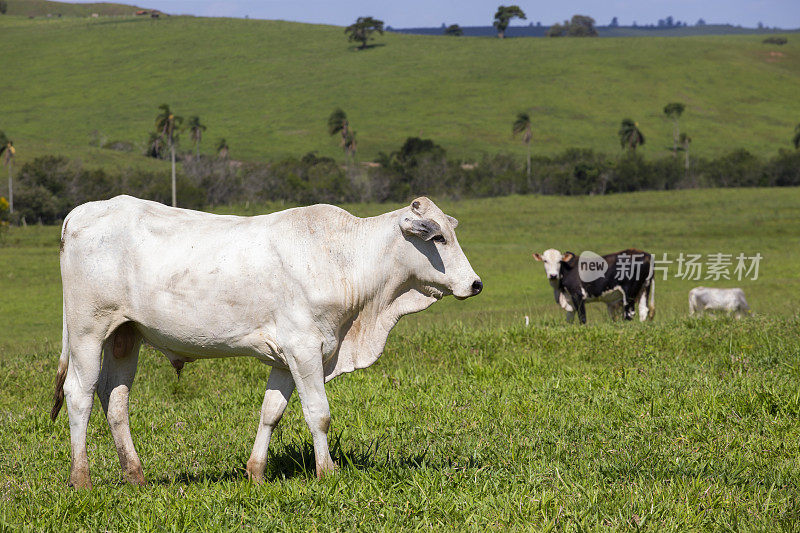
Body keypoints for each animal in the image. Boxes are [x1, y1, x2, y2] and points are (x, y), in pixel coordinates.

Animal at [51, 194, 482, 486]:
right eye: (438, 238)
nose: (476, 284)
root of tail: (82, 211)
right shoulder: (304, 348)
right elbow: (318, 413)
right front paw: (327, 472)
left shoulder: (286, 357)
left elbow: (271, 412)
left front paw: (256, 472)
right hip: (88, 331)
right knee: (79, 394)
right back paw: (81, 478)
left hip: (126, 335)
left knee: (115, 398)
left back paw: (135, 474)